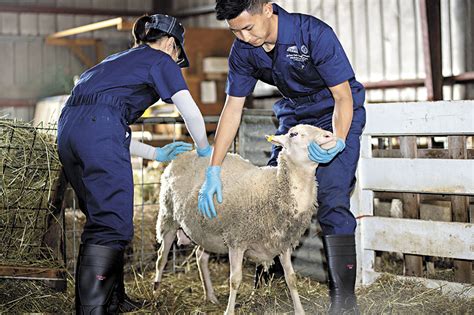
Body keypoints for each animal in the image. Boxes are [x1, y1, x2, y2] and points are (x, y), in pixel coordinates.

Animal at [154, 124, 336, 314]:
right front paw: (229, 311)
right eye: (294, 134)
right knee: (161, 258)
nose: (329, 135)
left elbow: (291, 278)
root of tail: (184, 154)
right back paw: (157, 292)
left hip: (206, 231)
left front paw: (299, 310)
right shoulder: (237, 241)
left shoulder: (283, 243)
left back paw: (210, 296)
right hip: (168, 217)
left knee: (200, 257)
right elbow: (235, 280)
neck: (275, 188)